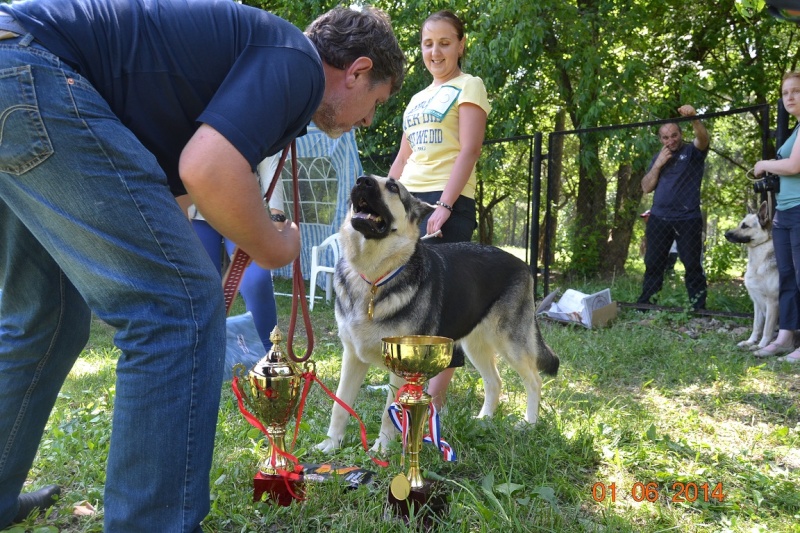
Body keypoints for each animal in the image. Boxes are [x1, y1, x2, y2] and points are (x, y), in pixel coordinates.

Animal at [316, 177, 560, 450]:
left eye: (392, 187)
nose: (361, 181)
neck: (373, 279)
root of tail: (523, 265)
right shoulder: (352, 357)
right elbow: (340, 404)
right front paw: (331, 444)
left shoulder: (401, 366)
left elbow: (389, 413)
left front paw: (383, 449)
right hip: (474, 345)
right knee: (495, 381)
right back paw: (485, 420)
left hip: (510, 344)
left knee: (534, 380)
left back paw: (529, 423)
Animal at [724, 202, 776, 352]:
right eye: (739, 224)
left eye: (745, 226)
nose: (725, 234)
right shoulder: (757, 303)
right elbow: (756, 326)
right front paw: (750, 342)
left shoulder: (772, 303)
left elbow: (767, 329)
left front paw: (761, 346)